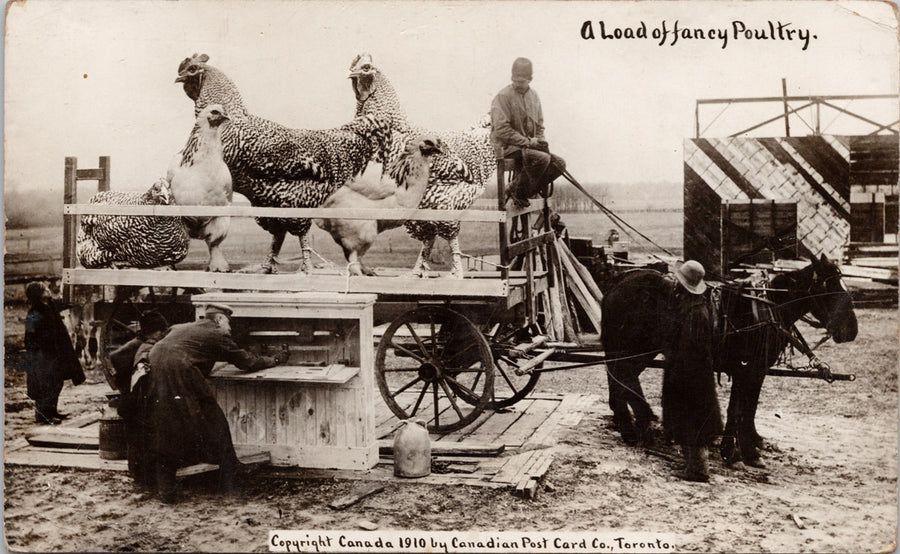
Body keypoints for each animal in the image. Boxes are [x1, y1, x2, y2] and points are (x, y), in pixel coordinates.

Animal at [596, 254, 856, 466]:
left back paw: (633, 423)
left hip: (636, 349)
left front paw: (748, 445)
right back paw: (635, 426)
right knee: (624, 376)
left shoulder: (756, 371)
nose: (851, 330)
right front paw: (737, 452)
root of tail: (619, 281)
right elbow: (738, 409)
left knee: (621, 377)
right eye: (830, 288)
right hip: (634, 346)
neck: (765, 311)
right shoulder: (747, 369)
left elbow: (748, 408)